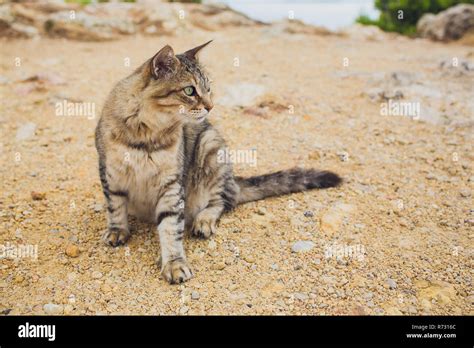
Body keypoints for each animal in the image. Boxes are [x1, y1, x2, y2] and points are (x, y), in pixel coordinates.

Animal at [95, 41, 340, 282]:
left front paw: (174, 263)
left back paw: (204, 221)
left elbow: (171, 227)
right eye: (190, 90)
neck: (147, 134)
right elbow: (115, 207)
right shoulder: (110, 174)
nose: (211, 106)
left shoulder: (172, 184)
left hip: (210, 148)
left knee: (224, 200)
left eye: (208, 88)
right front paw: (117, 230)